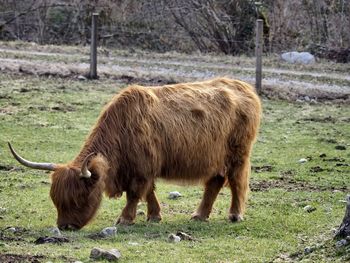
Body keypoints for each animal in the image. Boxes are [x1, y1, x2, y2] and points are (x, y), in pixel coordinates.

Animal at [8, 77, 260, 230]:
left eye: (79, 197)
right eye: (55, 199)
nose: (64, 226)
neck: (122, 130)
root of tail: (244, 87)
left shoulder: (141, 171)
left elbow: (135, 194)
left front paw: (125, 219)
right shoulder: (143, 169)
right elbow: (149, 192)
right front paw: (154, 216)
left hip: (237, 155)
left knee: (236, 182)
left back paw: (235, 215)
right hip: (216, 159)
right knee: (215, 183)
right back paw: (199, 215)